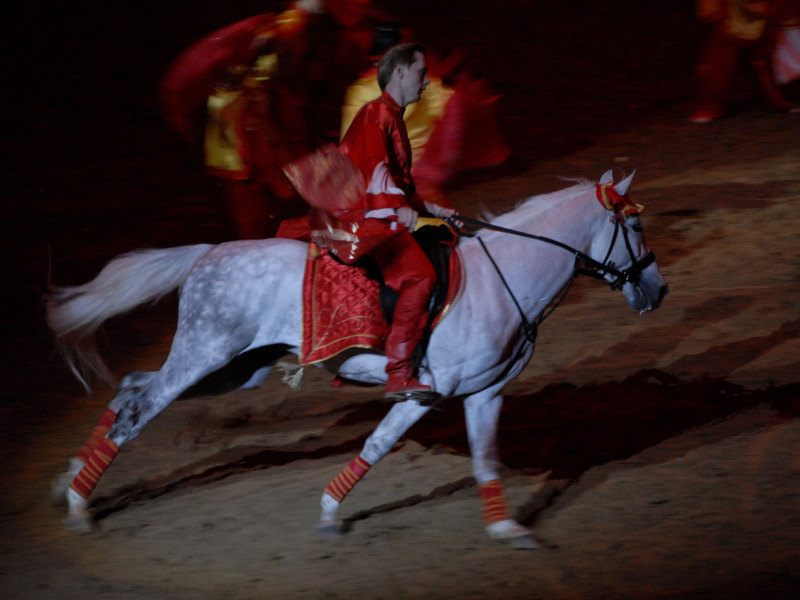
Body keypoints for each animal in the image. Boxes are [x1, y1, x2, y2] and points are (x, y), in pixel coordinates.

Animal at [47, 170, 664, 548]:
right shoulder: (424, 394)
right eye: (634, 225)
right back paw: (79, 504)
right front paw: (328, 513)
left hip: (230, 369)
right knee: (139, 409)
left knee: (132, 386)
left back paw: (71, 477)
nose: (657, 291)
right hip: (205, 354)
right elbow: (377, 445)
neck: (501, 279)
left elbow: (486, 461)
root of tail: (209, 253)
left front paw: (508, 530)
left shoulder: (485, 394)